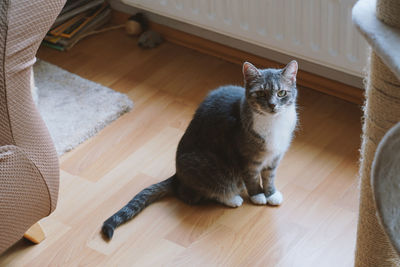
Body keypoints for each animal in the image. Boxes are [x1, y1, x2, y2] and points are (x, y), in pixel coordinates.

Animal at [101, 60, 298, 241]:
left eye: (281, 93)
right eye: (261, 93)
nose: (272, 105)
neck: (274, 123)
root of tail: (178, 176)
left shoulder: (274, 157)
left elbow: (269, 176)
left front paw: (271, 194)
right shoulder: (247, 158)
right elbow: (252, 178)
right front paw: (258, 195)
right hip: (208, 166)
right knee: (195, 194)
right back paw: (231, 198)